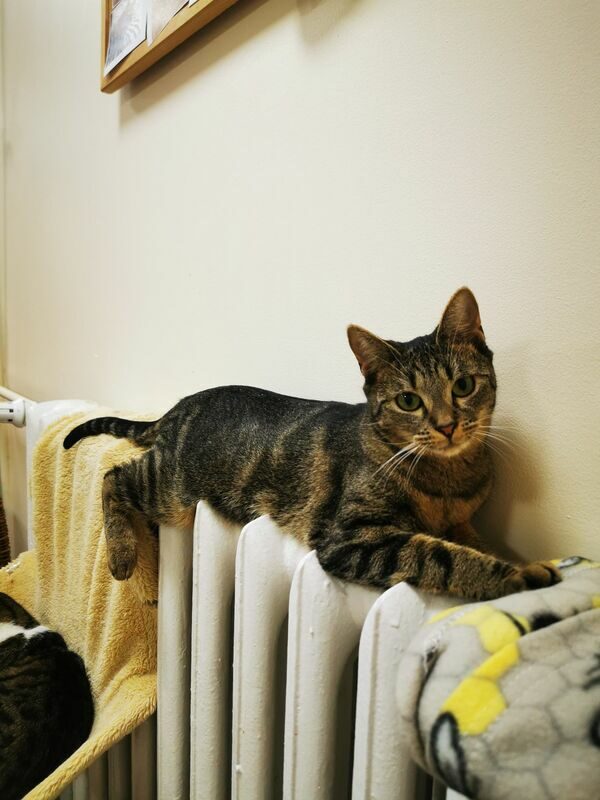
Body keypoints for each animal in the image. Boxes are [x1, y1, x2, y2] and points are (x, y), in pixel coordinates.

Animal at [63, 288, 560, 600]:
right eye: (408, 400)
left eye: (462, 386)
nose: (447, 426)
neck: (448, 479)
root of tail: (179, 408)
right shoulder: (353, 540)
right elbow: (442, 557)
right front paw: (521, 574)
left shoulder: (462, 522)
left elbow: (474, 543)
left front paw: (509, 558)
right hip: (170, 489)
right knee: (114, 476)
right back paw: (122, 553)